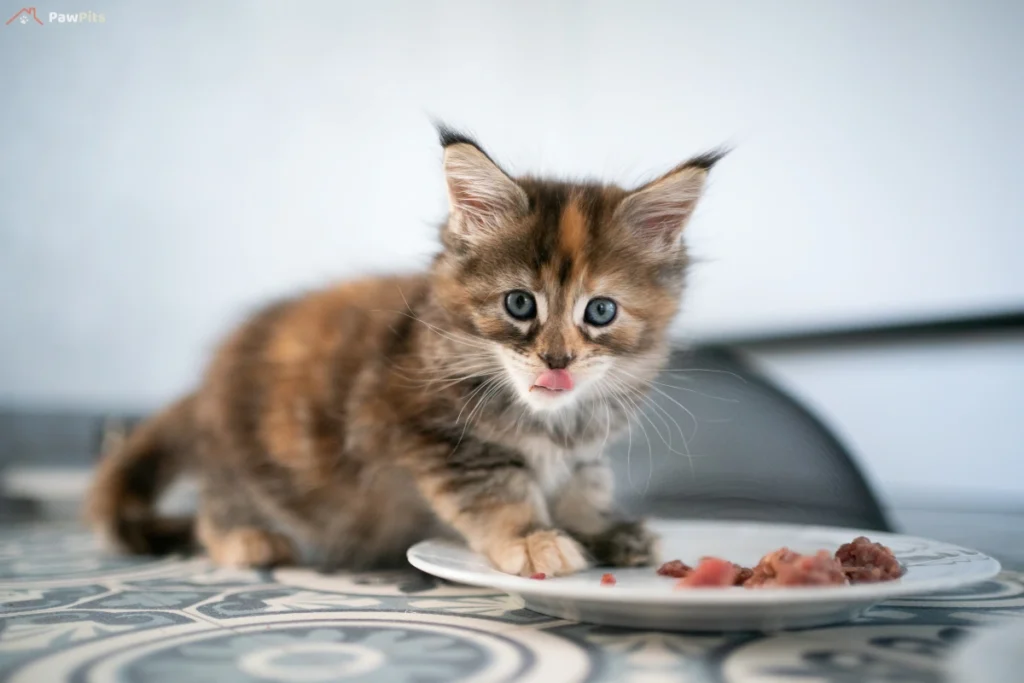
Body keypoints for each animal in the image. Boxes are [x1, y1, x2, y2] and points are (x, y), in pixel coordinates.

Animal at [90, 127, 729, 577]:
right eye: (520, 304)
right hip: (245, 454)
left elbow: (583, 488)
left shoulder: (582, 453)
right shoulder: (439, 437)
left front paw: (603, 529)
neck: (550, 424)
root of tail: (206, 383)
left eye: (599, 312)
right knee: (219, 501)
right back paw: (246, 539)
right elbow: (499, 494)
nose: (557, 360)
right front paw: (532, 538)